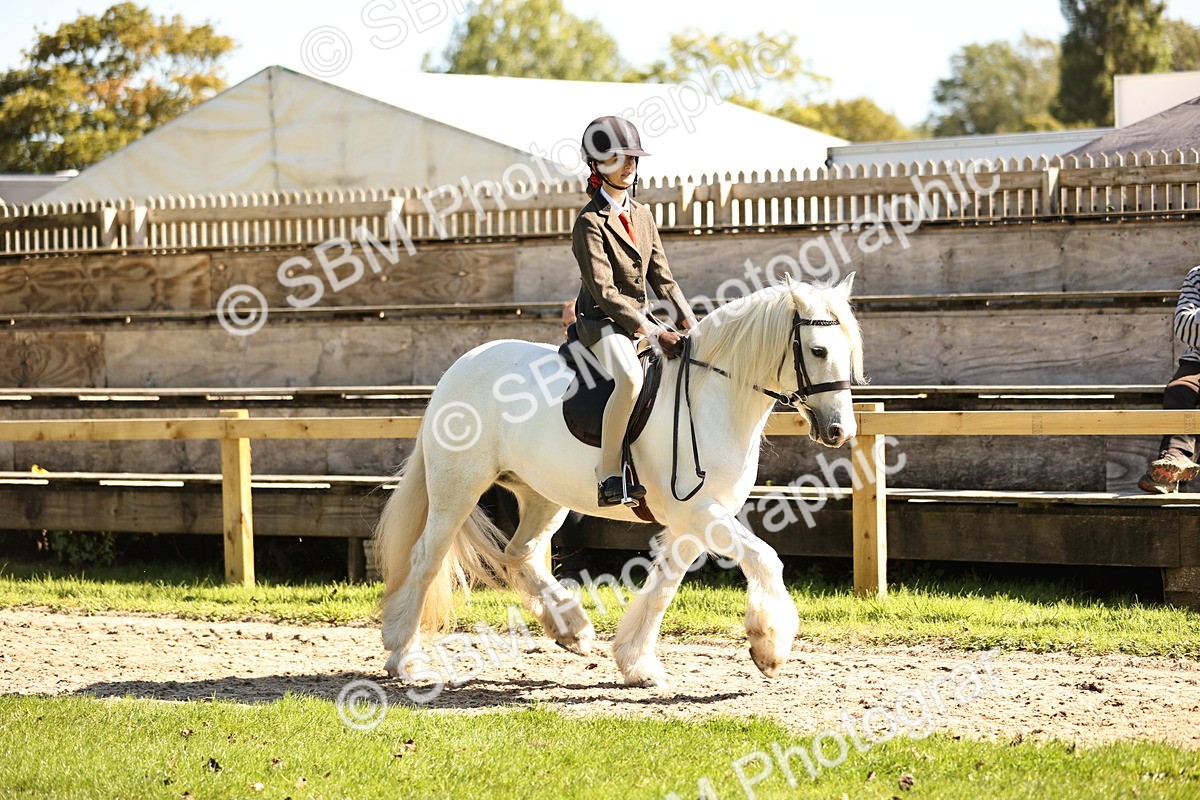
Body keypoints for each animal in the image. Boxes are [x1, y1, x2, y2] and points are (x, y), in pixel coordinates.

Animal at [374, 274, 864, 687]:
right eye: (818, 350)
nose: (839, 431)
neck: (712, 398)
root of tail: (461, 366)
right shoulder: (699, 511)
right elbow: (765, 559)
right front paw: (769, 648)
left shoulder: (693, 520)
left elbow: (664, 586)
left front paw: (636, 663)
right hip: (457, 489)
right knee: (426, 559)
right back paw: (404, 657)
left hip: (543, 496)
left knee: (521, 555)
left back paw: (571, 629)